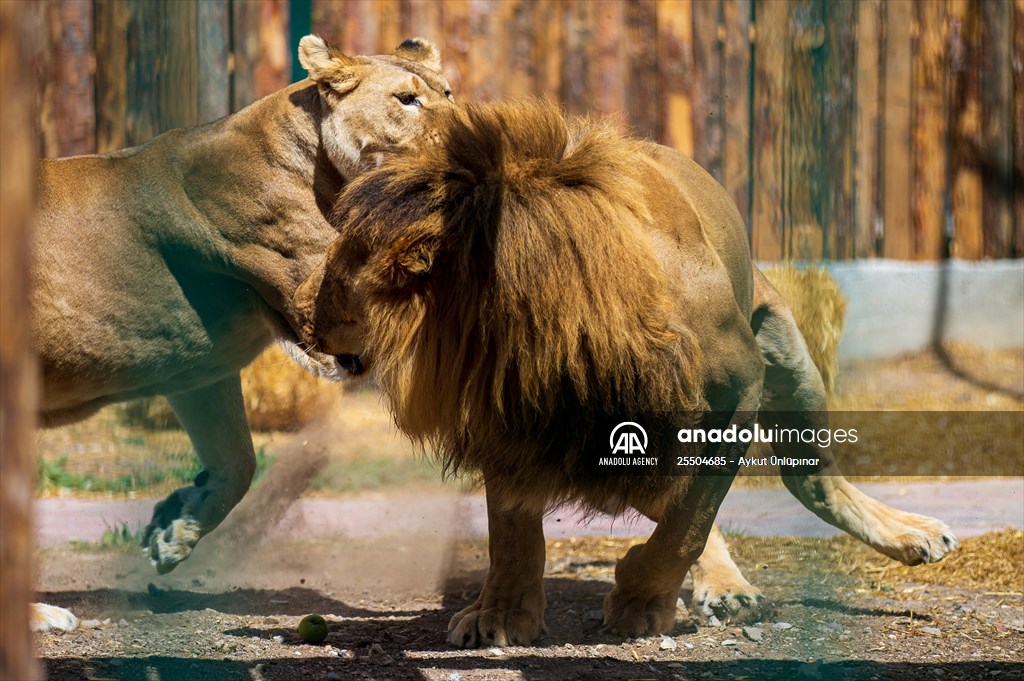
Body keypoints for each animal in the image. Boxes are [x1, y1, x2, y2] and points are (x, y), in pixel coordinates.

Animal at [30, 35, 455, 632]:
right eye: (406, 100)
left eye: (449, 93)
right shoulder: (320, 309)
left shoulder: (197, 373)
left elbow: (237, 463)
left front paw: (172, 529)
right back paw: (40, 614)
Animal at [295, 101, 958, 646]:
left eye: (338, 270)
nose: (301, 310)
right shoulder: (508, 416)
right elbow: (511, 530)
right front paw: (501, 614)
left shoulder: (736, 390)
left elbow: (689, 522)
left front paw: (640, 601)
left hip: (788, 358)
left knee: (810, 480)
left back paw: (900, 536)